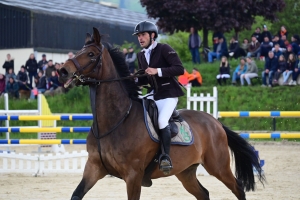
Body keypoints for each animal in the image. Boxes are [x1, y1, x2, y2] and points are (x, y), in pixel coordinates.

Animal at [58, 27, 264, 200]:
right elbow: (76, 195)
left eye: (91, 54)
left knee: (238, 188)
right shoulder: (93, 168)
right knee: (203, 193)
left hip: (218, 166)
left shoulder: (133, 175)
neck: (115, 121)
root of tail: (215, 122)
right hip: (186, 172)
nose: (62, 71)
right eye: (79, 51)